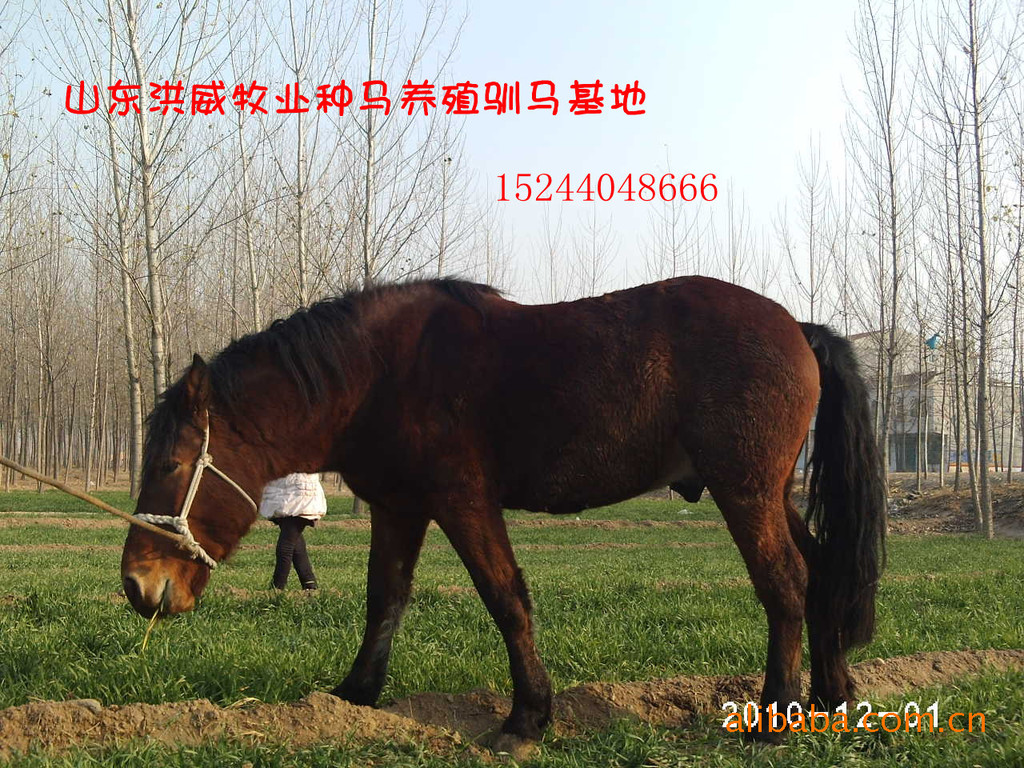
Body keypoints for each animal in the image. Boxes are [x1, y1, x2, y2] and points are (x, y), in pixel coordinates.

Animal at [121, 276, 885, 748]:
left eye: (170, 466)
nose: (136, 585)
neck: (381, 374)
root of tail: (796, 326)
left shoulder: (463, 501)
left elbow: (505, 597)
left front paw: (527, 716)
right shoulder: (399, 508)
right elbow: (385, 599)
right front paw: (354, 695)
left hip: (745, 491)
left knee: (784, 583)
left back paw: (776, 713)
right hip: (771, 492)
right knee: (820, 572)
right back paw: (830, 694)